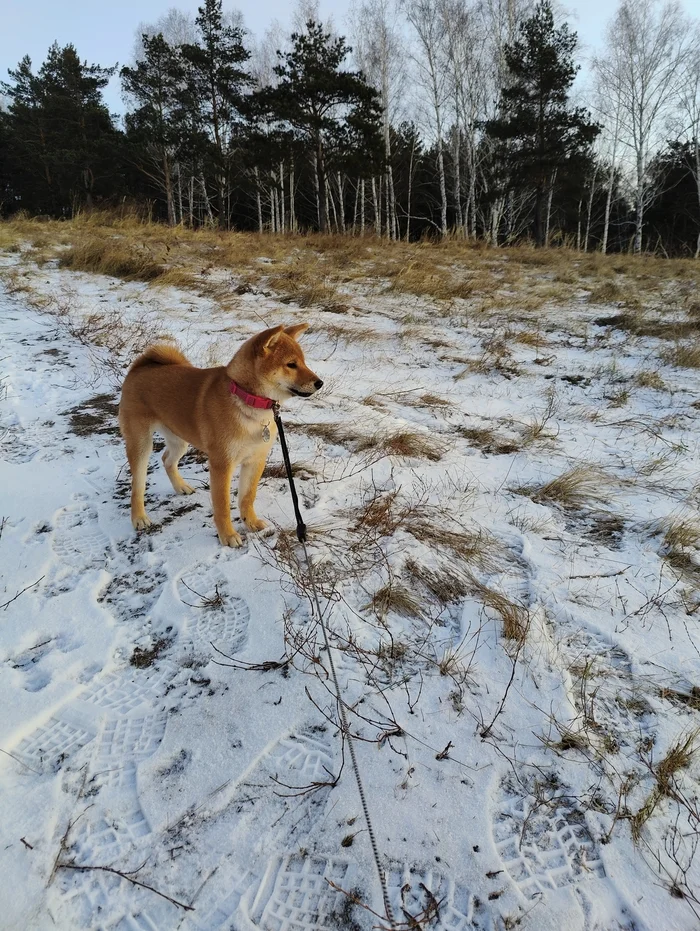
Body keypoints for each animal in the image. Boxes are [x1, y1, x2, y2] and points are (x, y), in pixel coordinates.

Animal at [118, 326, 322, 548]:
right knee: (137, 484)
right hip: (141, 443)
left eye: (303, 361)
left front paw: (250, 522)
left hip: (179, 439)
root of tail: (139, 368)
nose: (319, 383)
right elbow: (222, 505)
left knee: (167, 460)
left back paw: (181, 486)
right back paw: (139, 517)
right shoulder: (222, 463)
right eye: (291, 364)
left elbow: (247, 497)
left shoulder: (255, 459)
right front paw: (228, 535)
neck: (247, 400)